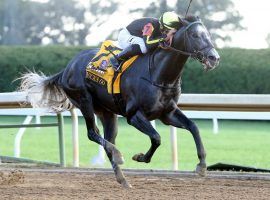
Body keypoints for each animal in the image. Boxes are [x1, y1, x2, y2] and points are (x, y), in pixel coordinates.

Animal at [20, 15, 219, 188]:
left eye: (208, 34)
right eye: (195, 35)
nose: (214, 58)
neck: (158, 74)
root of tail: (67, 68)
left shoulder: (167, 113)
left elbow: (193, 127)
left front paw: (202, 165)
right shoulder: (134, 115)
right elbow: (156, 137)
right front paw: (140, 157)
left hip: (107, 112)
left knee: (108, 140)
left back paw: (123, 179)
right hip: (84, 101)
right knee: (92, 133)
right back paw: (119, 155)